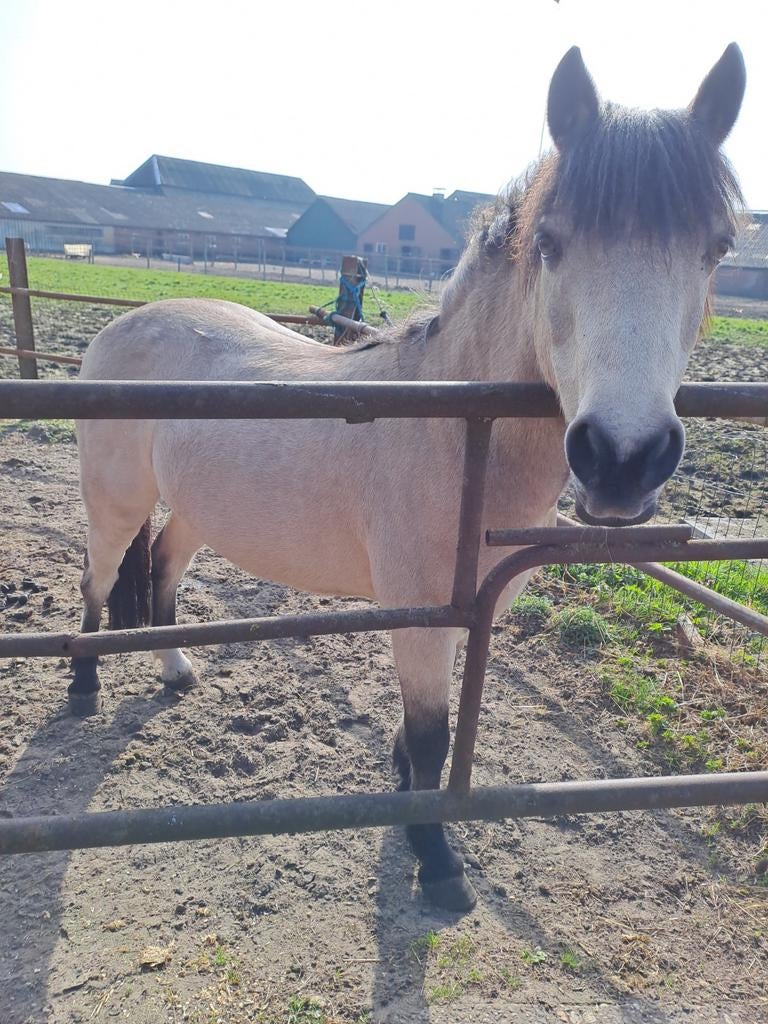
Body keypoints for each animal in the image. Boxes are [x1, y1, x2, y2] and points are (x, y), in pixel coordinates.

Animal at [72, 44, 745, 911]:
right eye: (551, 241)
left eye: (717, 247)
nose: (622, 458)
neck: (451, 426)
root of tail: (122, 326)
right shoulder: (418, 611)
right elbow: (432, 736)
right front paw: (436, 857)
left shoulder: (464, 607)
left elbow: (428, 728)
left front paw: (403, 794)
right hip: (115, 501)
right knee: (96, 583)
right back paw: (83, 683)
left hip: (194, 508)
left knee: (161, 568)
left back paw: (176, 671)